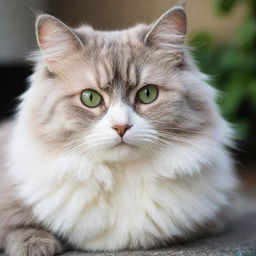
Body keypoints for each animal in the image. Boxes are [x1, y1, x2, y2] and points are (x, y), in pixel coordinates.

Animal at [0, 4, 238, 256]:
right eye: (90, 98)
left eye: (148, 94)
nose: (121, 126)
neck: (122, 174)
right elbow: (18, 224)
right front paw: (38, 244)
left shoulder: (214, 217)